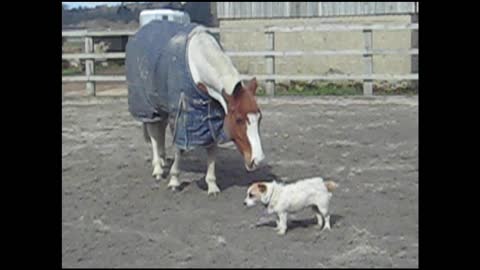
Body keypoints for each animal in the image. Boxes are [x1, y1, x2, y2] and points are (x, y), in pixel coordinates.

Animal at [125, 20, 264, 195]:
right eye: (239, 119)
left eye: (259, 118)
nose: (257, 160)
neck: (197, 64)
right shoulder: (182, 115)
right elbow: (180, 148)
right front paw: (174, 180)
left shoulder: (211, 117)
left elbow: (211, 147)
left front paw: (212, 185)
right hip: (149, 108)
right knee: (154, 135)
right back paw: (158, 168)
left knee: (160, 131)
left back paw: (163, 160)